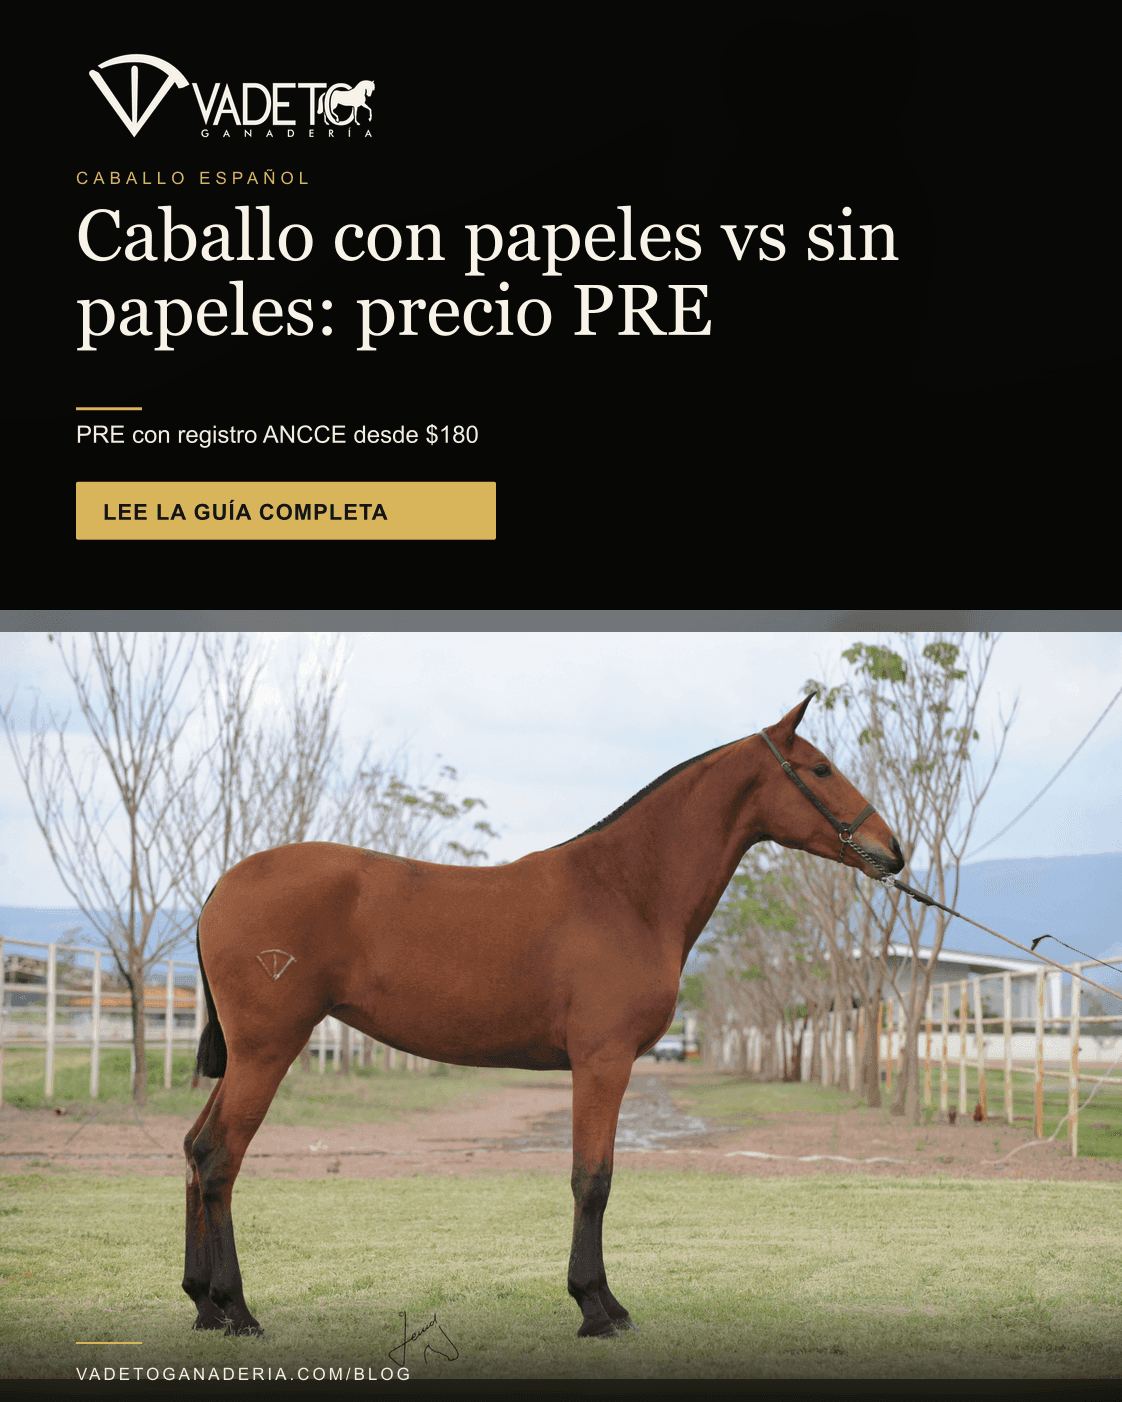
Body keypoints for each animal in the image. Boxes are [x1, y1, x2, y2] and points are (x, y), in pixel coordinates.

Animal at [182, 695, 904, 1339]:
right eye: (819, 769)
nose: (893, 849)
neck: (624, 890)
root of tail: (223, 886)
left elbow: (596, 1177)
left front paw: (605, 1303)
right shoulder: (603, 1062)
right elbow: (592, 1179)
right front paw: (596, 1308)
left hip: (249, 1057)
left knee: (194, 1150)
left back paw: (203, 1305)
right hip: (267, 1050)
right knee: (219, 1158)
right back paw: (238, 1311)